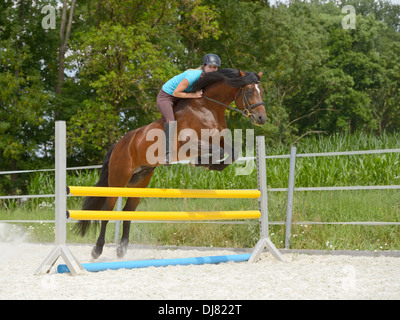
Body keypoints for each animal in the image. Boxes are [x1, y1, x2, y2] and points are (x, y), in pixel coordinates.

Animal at [74, 69, 268, 258]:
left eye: (261, 91)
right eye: (249, 91)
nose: (261, 118)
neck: (208, 107)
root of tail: (119, 144)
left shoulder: (218, 140)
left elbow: (232, 153)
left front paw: (211, 165)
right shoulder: (191, 143)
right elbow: (218, 152)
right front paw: (200, 162)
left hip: (140, 180)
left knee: (128, 210)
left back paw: (122, 249)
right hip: (118, 180)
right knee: (107, 211)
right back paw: (97, 250)